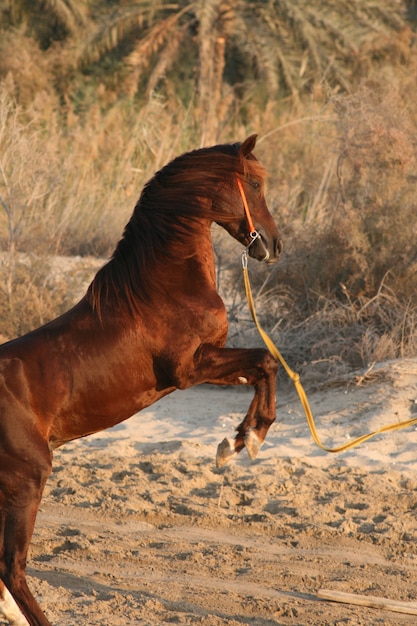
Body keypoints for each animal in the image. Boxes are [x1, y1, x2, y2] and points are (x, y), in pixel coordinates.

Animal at [0, 134, 282, 620]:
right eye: (255, 184)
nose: (274, 245)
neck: (164, 286)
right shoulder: (190, 369)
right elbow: (265, 360)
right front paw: (248, 440)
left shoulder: (206, 366)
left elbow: (261, 368)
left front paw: (237, 441)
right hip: (28, 478)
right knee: (13, 567)